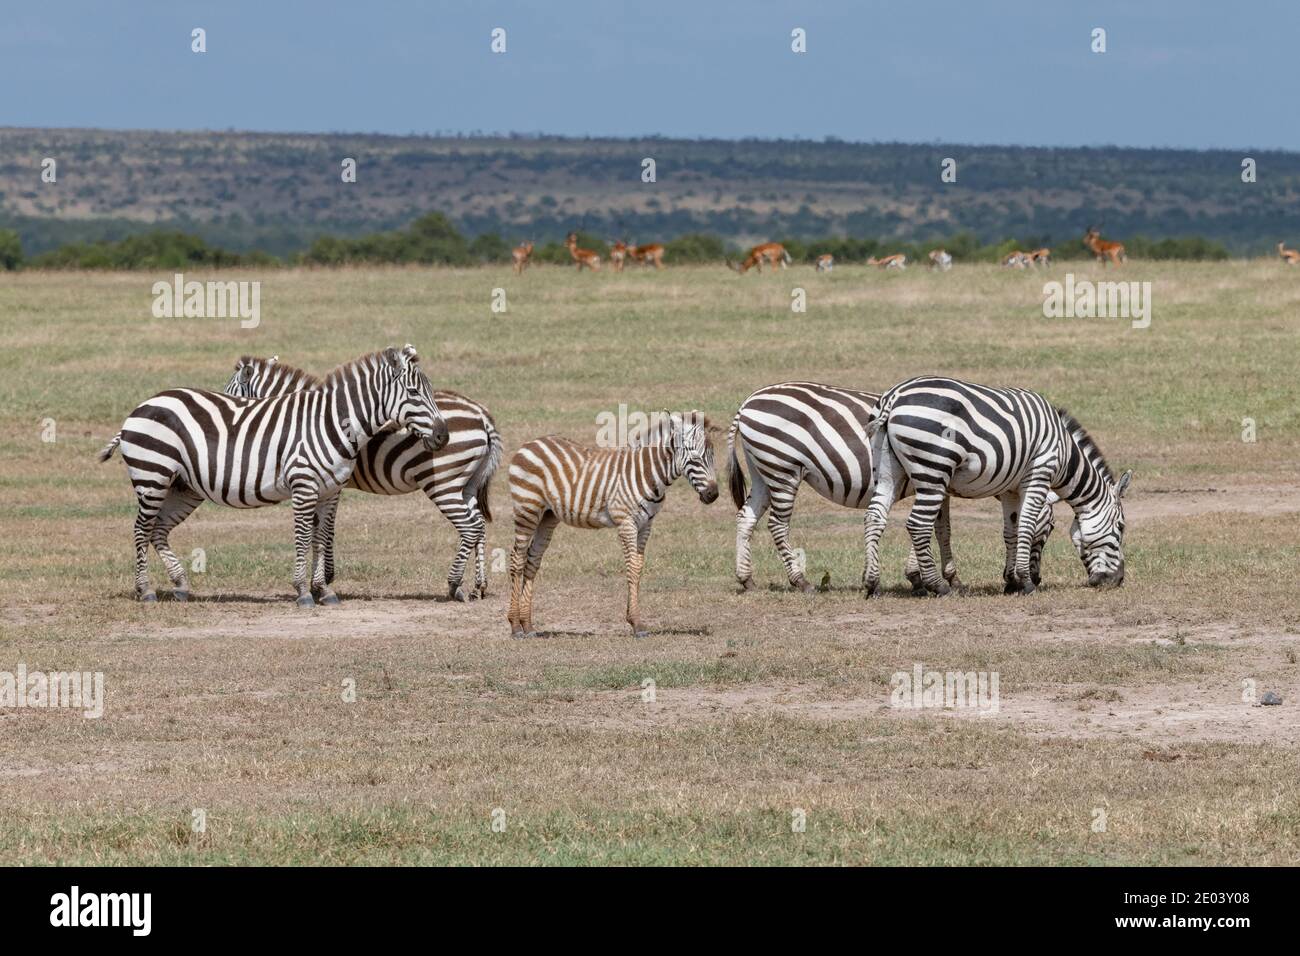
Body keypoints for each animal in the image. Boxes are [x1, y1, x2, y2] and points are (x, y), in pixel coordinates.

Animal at [99, 346, 449, 606]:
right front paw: (304, 592)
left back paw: (181, 585)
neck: (332, 422)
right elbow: (304, 537)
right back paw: (145, 591)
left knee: (158, 529)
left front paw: (325, 590)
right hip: (152, 477)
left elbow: (321, 537)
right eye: (414, 392)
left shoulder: (330, 490)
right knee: (141, 530)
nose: (443, 436)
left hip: (182, 487)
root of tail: (142, 406)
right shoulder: (304, 486)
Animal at [224, 355, 503, 601]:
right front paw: (322, 580)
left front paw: (323, 579)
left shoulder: (330, 484)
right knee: (479, 524)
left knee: (469, 526)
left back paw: (455, 585)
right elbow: (321, 528)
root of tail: (482, 415)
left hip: (443, 482)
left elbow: (323, 530)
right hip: (467, 484)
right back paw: (479, 586)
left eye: (230, 395)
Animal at [506, 411, 718, 639]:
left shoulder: (646, 525)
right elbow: (631, 567)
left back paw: (528, 625)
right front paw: (637, 624)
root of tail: (531, 443)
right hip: (527, 509)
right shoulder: (626, 522)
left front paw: (632, 618)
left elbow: (638, 566)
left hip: (547, 516)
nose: (713, 495)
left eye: (713, 456)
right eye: (695, 458)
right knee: (517, 559)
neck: (648, 473)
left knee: (532, 560)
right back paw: (515, 626)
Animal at [727, 382, 1055, 595]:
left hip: (764, 471)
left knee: (746, 518)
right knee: (777, 524)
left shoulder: (939, 484)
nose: (1037, 579)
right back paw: (801, 581)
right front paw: (932, 578)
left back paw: (746, 579)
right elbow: (936, 529)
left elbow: (939, 528)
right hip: (783, 468)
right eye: (1050, 528)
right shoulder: (936, 479)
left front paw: (923, 577)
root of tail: (747, 403)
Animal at [862, 376, 1131, 597]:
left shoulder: (1010, 489)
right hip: (933, 468)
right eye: (1121, 527)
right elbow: (1026, 526)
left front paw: (1011, 582)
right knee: (918, 524)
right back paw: (937, 586)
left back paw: (872, 583)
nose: (1118, 580)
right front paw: (1025, 581)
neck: (1064, 452)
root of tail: (893, 396)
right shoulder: (1039, 474)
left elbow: (1011, 530)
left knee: (874, 517)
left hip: (888, 473)